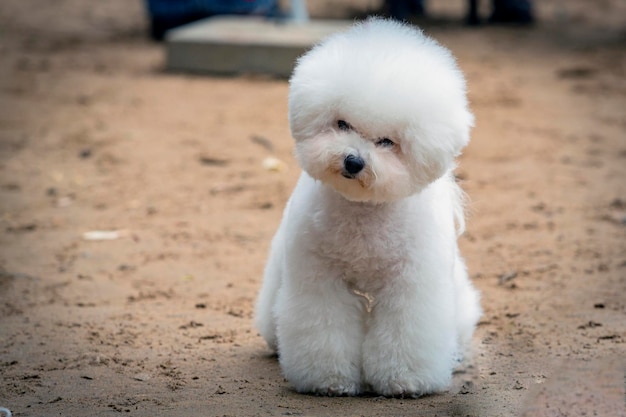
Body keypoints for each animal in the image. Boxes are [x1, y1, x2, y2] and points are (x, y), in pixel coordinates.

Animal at [256, 18, 480, 396]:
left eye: (387, 142)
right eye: (342, 124)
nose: (353, 161)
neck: (363, 211)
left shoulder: (411, 284)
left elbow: (407, 331)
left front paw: (404, 381)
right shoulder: (319, 277)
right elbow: (324, 326)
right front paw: (327, 381)